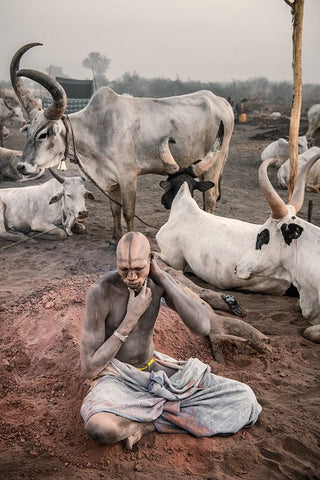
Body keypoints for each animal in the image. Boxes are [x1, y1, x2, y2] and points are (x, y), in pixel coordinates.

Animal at [10, 42, 235, 248]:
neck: (98, 129)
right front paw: (114, 238)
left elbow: (128, 211)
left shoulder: (128, 176)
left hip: (214, 164)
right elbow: (114, 209)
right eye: (28, 131)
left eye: (43, 134)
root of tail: (221, 101)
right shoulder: (110, 180)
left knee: (210, 197)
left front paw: (129, 240)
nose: (22, 167)